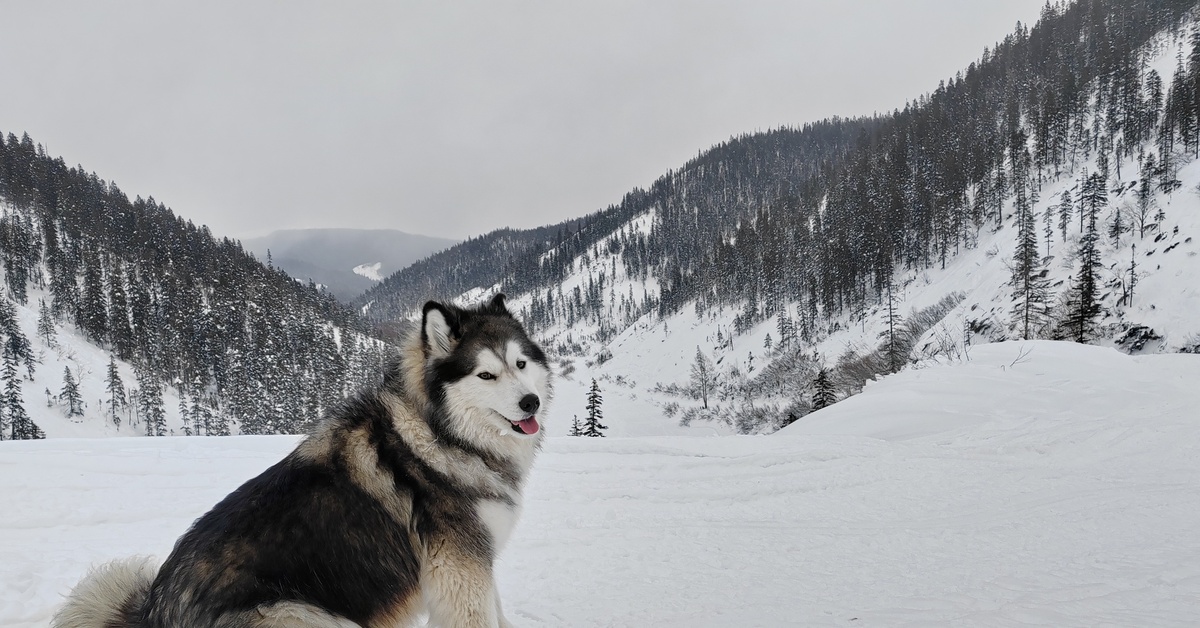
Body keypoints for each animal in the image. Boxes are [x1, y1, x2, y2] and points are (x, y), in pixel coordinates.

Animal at [51, 296, 549, 628]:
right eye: (486, 374)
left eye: (521, 364)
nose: (532, 402)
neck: (440, 433)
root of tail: (155, 612)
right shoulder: (459, 572)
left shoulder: (476, 563)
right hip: (310, 616)